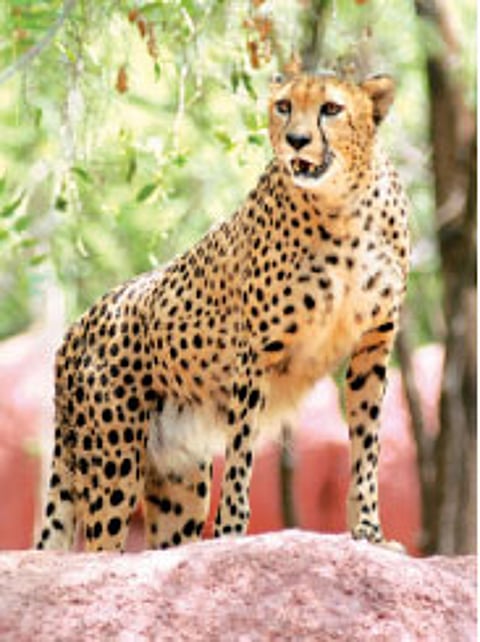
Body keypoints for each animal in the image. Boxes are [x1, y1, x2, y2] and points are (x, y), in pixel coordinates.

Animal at [36, 67, 410, 552]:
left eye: (331, 108)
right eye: (284, 106)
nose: (297, 140)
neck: (343, 204)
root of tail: (78, 324)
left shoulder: (373, 346)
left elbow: (367, 451)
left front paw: (369, 532)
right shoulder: (254, 356)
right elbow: (240, 460)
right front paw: (232, 534)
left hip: (178, 484)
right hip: (112, 467)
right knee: (101, 549)